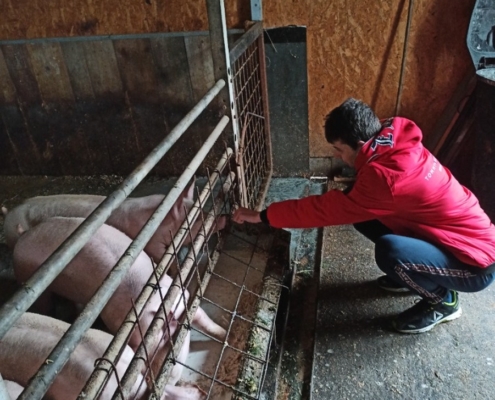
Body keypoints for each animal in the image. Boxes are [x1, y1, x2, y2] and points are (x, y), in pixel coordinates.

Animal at [13, 219, 227, 388]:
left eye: (173, 338)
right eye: (164, 339)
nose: (156, 382)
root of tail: (22, 237)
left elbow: (207, 322)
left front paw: (224, 334)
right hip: (29, 278)